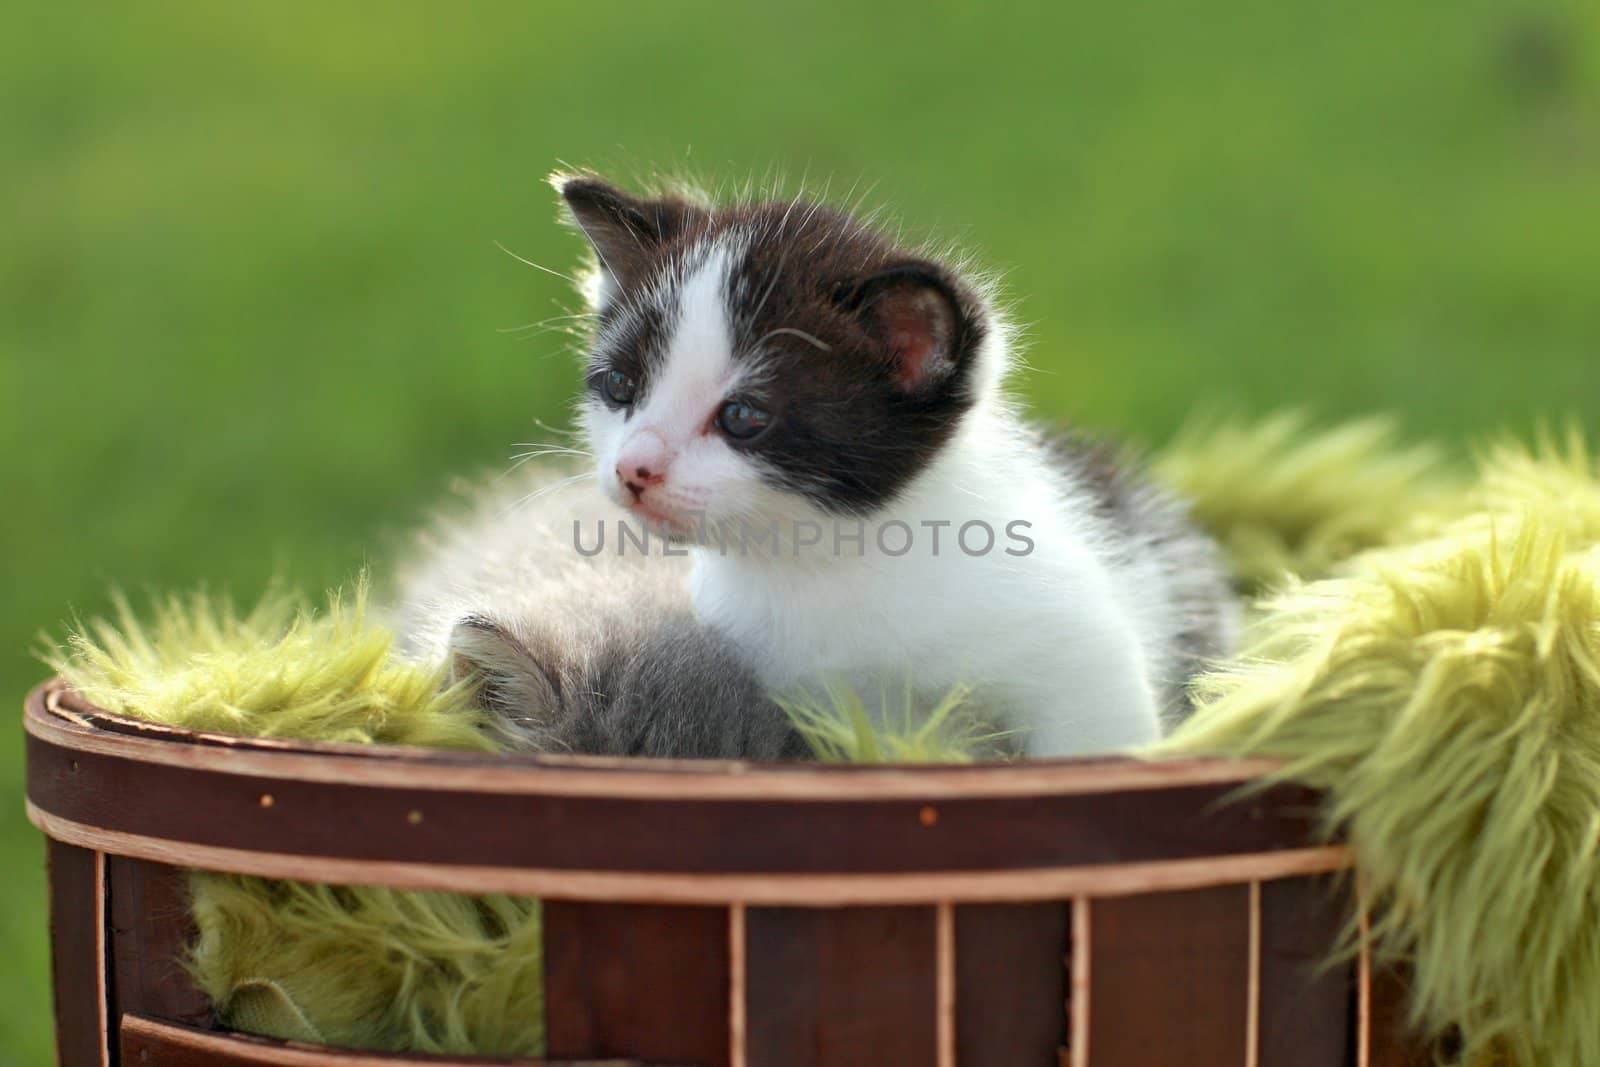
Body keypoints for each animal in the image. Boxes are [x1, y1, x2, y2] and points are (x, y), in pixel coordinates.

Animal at [556, 175, 1241, 755]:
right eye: (620, 385)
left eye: (743, 416)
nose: (634, 469)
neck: (831, 559)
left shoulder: (1085, 660)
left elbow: (1093, 742)